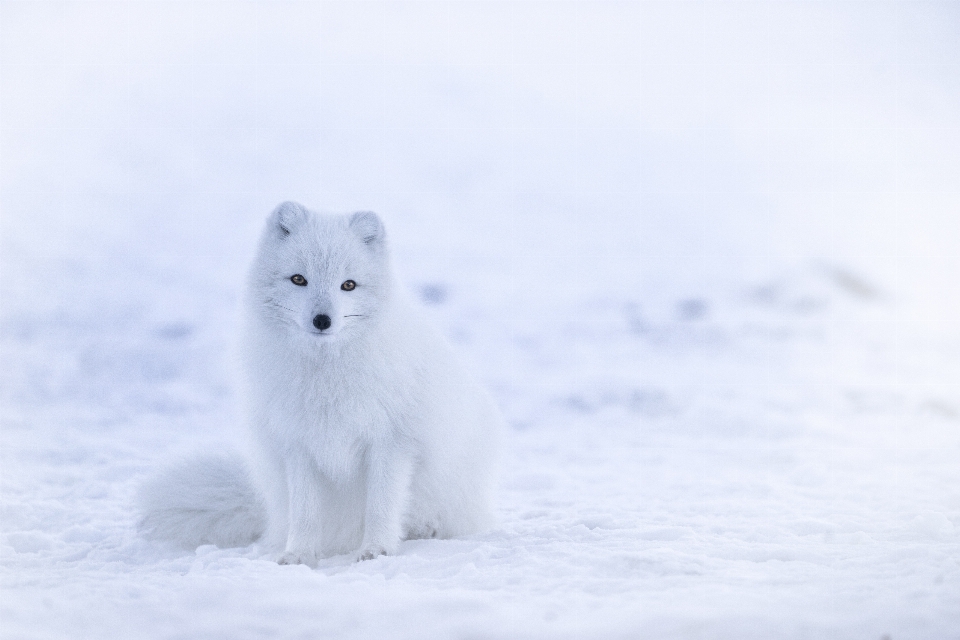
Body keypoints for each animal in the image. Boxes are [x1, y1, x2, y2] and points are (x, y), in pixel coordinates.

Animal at [142, 201, 506, 564]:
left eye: (349, 285)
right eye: (298, 279)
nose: (322, 320)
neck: (326, 374)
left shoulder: (392, 442)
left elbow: (381, 505)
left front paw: (376, 550)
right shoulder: (299, 445)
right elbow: (305, 512)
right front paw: (299, 555)